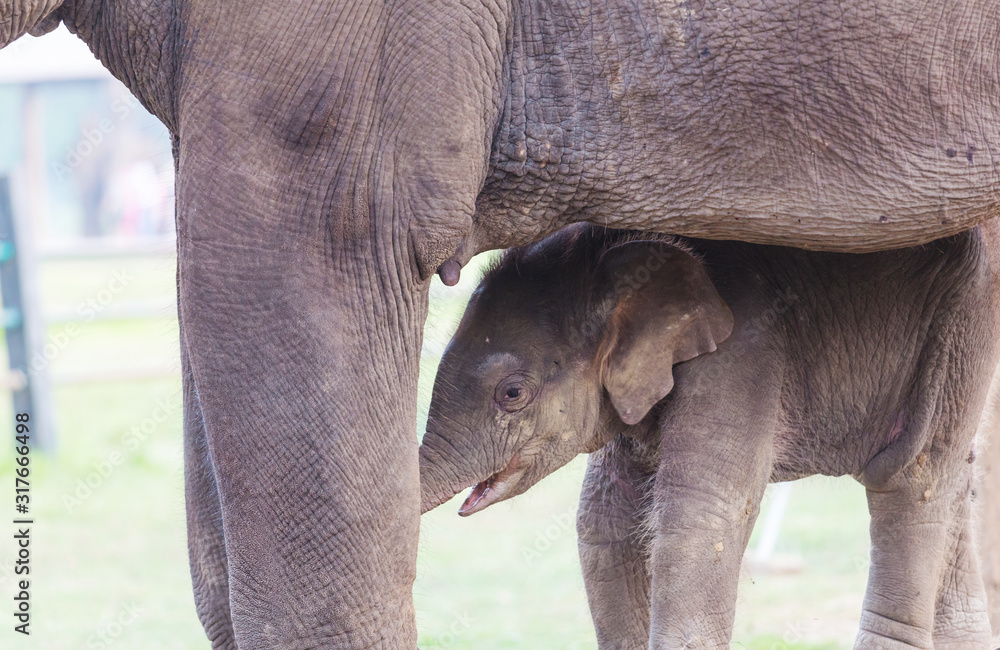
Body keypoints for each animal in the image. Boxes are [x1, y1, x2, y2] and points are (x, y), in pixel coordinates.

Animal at [419, 222, 1000, 648]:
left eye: (512, 393)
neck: (605, 258)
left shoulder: (744, 348)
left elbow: (700, 515)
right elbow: (604, 523)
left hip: (966, 317)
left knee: (910, 475)